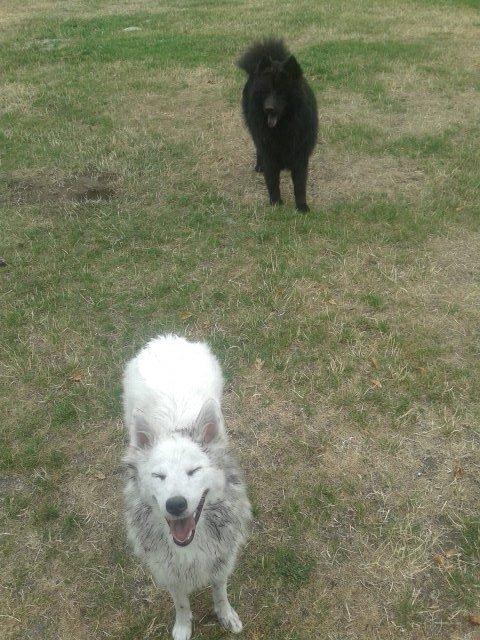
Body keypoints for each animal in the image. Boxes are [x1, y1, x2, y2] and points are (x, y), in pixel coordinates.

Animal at [122, 334, 251, 640]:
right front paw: (183, 628)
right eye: (158, 476)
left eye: (194, 471)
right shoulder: (169, 570)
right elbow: (181, 603)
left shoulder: (222, 559)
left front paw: (226, 616)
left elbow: (220, 592)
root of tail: (166, 338)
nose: (176, 504)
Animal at [237, 38, 318, 212]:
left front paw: (302, 206)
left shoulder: (300, 154)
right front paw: (276, 202)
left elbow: (300, 184)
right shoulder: (270, 152)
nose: (269, 108)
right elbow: (273, 180)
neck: (283, 128)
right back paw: (259, 165)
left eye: (281, 92)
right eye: (266, 91)